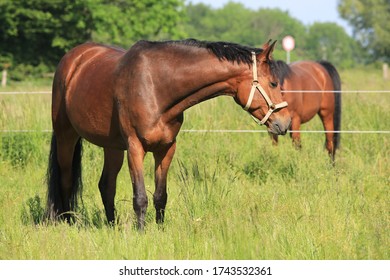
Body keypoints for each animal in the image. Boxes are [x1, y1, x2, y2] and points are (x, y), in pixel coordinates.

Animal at [45, 38, 290, 229]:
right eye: (273, 83)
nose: (285, 122)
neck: (156, 87)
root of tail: (74, 59)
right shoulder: (135, 147)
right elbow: (140, 197)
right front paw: (141, 233)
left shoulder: (166, 148)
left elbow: (160, 196)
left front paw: (160, 230)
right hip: (66, 136)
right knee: (66, 180)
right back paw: (66, 222)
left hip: (112, 146)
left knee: (106, 185)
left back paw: (111, 226)